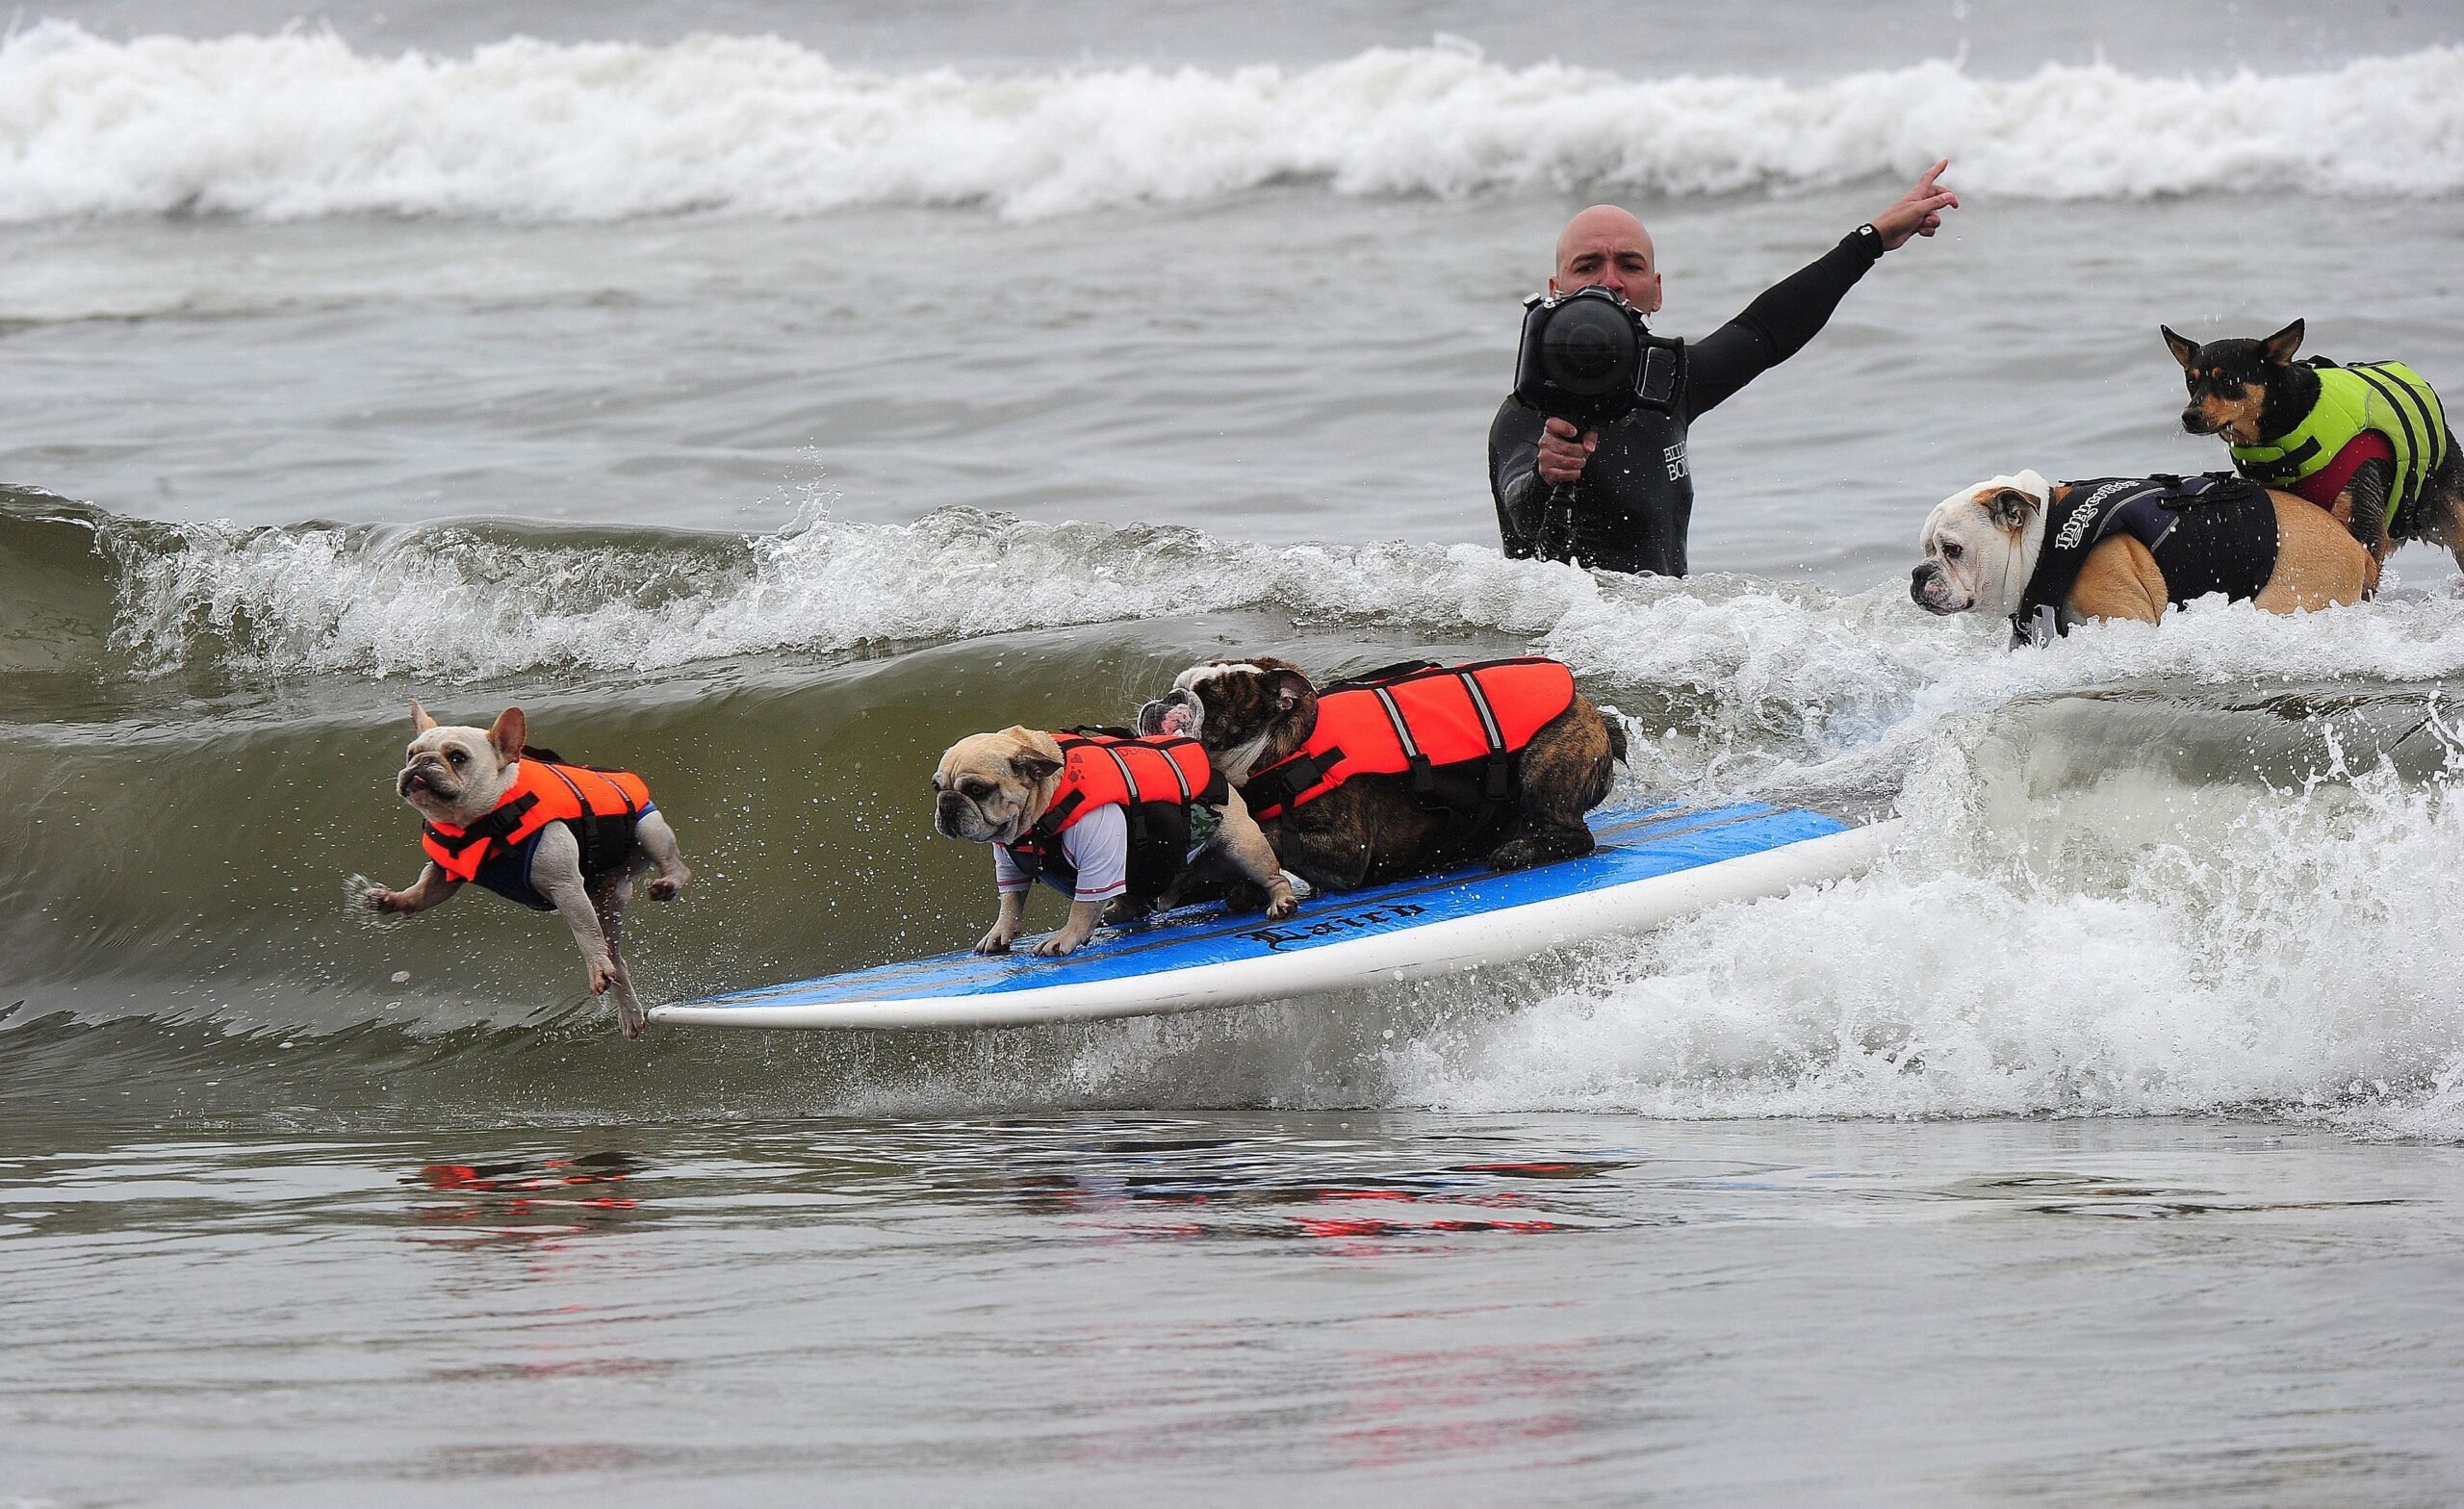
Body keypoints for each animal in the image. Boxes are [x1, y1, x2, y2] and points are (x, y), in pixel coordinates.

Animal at [1128, 651, 1626, 897]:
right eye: (1178, 686)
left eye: (1210, 700)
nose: (1171, 699)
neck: (1284, 749)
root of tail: (1594, 712)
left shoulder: (1346, 847)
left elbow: (1273, 837)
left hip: (1546, 765)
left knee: (1572, 834)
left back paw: (1518, 850)